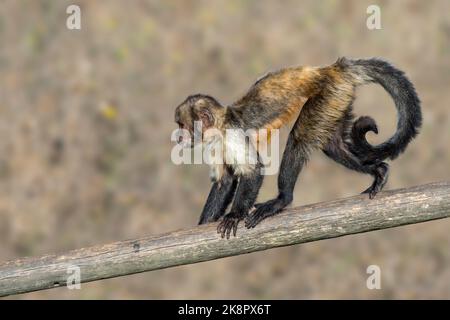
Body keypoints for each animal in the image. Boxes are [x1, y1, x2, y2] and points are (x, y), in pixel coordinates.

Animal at [173, 57, 422, 238]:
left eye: (182, 125)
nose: (179, 137)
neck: (221, 125)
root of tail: (330, 69)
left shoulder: (231, 133)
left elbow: (253, 171)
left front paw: (235, 215)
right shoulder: (214, 142)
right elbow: (224, 181)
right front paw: (203, 224)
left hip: (330, 93)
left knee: (298, 140)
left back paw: (282, 199)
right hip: (338, 99)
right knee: (333, 145)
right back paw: (378, 171)